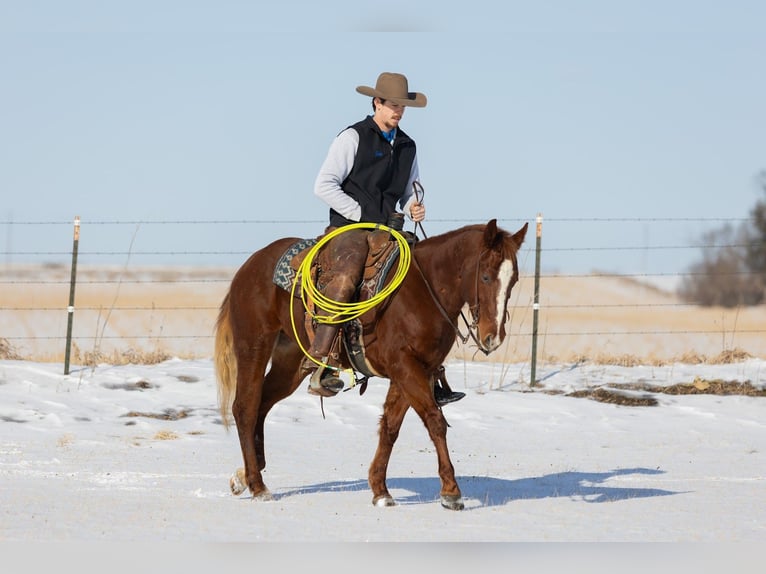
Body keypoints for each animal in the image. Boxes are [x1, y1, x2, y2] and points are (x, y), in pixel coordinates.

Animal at [214, 218, 528, 510]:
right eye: (485, 277)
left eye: (513, 281)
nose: (493, 337)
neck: (423, 292)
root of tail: (249, 266)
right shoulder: (405, 367)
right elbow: (435, 421)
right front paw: (451, 492)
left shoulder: (414, 371)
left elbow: (390, 426)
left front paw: (380, 490)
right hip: (254, 346)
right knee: (245, 407)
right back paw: (257, 486)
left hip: (289, 361)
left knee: (263, 404)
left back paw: (244, 476)